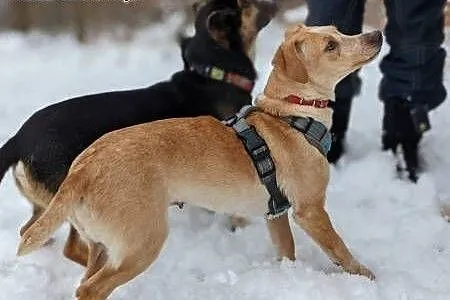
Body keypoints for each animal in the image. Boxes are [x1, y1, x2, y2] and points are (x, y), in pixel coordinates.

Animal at [0, 0, 276, 262]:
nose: (273, 3)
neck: (215, 75)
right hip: (69, 200)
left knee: (28, 231)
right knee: (73, 248)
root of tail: (18, 140)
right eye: (244, 4)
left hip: (47, 206)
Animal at [18, 24, 384, 298]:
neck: (291, 114)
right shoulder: (311, 211)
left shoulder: (276, 214)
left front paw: (287, 277)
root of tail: (82, 170)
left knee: (85, 279)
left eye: (338, 31)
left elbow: (286, 250)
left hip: (102, 245)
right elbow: (340, 250)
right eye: (331, 45)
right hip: (140, 244)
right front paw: (366, 277)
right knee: (90, 289)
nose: (377, 34)